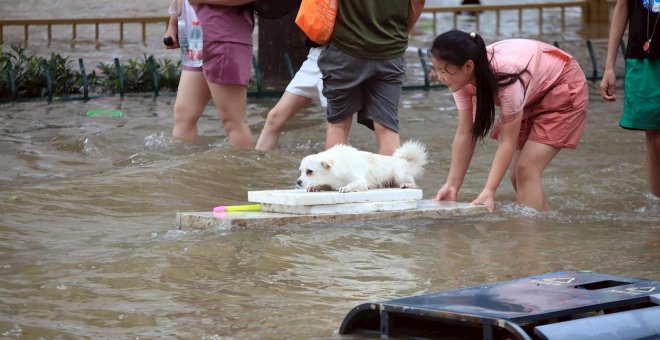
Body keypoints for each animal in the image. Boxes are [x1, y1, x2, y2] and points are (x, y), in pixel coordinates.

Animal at [296, 140, 428, 193]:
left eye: (309, 171)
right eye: (300, 171)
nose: (298, 182)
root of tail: (403, 160)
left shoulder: (360, 182)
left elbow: (352, 184)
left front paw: (346, 188)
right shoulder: (330, 183)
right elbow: (324, 185)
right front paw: (316, 187)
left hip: (399, 175)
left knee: (415, 184)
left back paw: (406, 185)